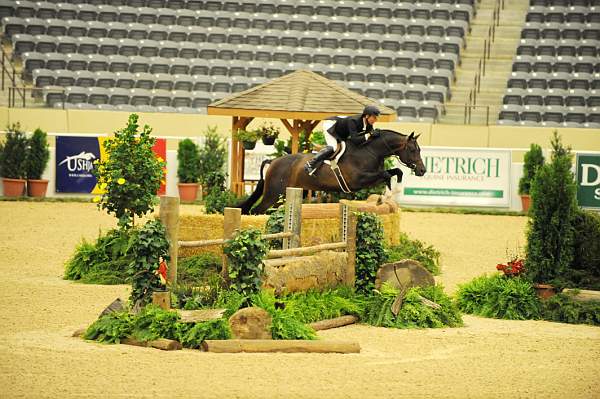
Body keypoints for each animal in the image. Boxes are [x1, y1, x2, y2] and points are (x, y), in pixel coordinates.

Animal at [237, 130, 424, 212]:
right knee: (257, 211)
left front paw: (389, 195)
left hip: (287, 194)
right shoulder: (358, 180)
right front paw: (383, 198)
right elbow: (386, 174)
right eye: (412, 150)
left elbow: (396, 171)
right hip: (274, 194)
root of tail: (273, 161)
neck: (371, 151)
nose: (422, 170)